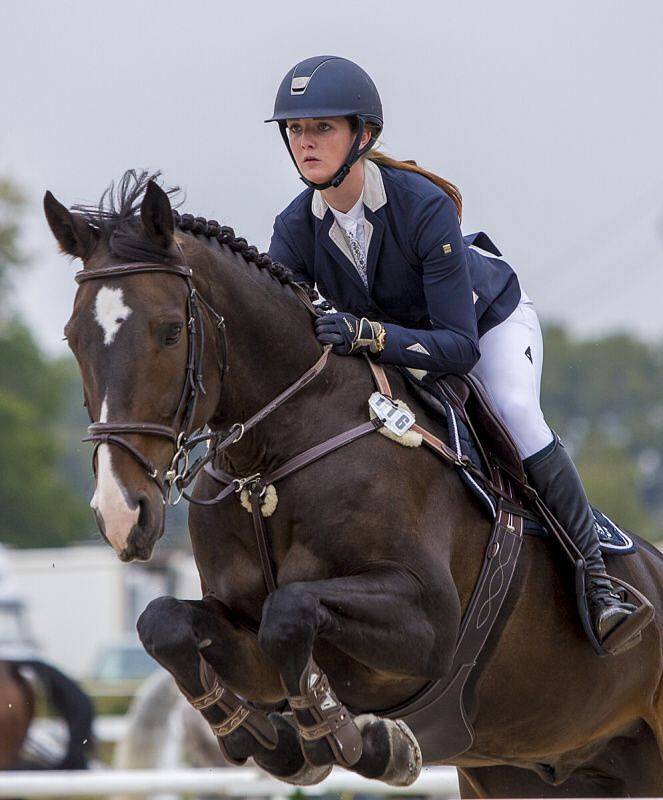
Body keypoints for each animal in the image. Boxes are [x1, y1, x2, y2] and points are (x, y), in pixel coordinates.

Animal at [46, 172, 663, 796]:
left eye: (171, 332)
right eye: (73, 338)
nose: (120, 512)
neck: (266, 471)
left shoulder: (429, 622)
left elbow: (290, 611)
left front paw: (366, 743)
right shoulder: (246, 641)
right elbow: (164, 623)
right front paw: (266, 738)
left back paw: (609, 609)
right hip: (528, 769)